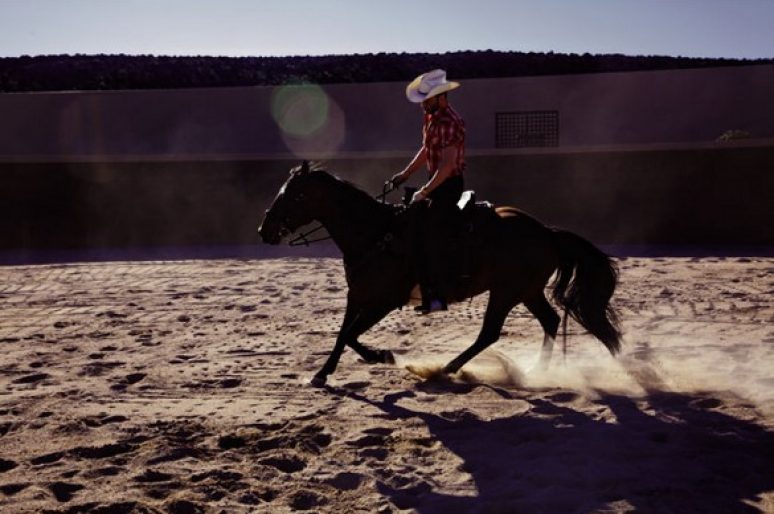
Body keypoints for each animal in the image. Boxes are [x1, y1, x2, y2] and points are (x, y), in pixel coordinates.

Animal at [260, 161, 624, 384]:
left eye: (294, 194)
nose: (264, 231)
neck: (376, 233)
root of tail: (547, 232)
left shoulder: (385, 300)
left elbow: (350, 334)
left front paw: (380, 355)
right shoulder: (359, 294)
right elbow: (343, 334)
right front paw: (327, 372)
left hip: (506, 292)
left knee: (490, 332)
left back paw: (447, 369)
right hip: (527, 291)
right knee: (548, 320)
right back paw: (536, 369)